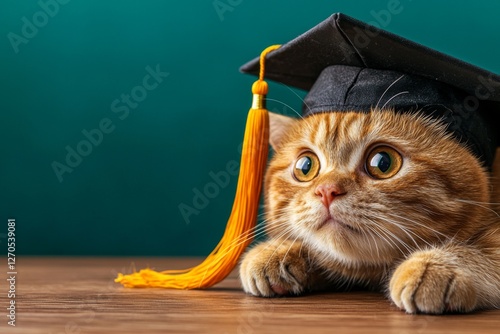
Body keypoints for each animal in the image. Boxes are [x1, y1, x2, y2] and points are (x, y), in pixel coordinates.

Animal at [239, 109, 500, 314]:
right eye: (306, 166)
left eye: (382, 162)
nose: (326, 190)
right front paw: (277, 251)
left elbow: (490, 247)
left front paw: (434, 266)